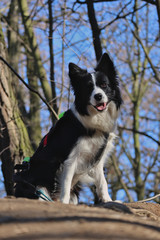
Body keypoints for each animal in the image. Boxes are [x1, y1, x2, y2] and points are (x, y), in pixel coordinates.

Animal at [14, 53, 122, 204]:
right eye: (88, 88)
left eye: (104, 85)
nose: (98, 96)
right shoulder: (69, 160)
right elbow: (65, 186)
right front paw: (64, 204)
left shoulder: (97, 159)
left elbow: (102, 182)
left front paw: (108, 200)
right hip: (39, 185)